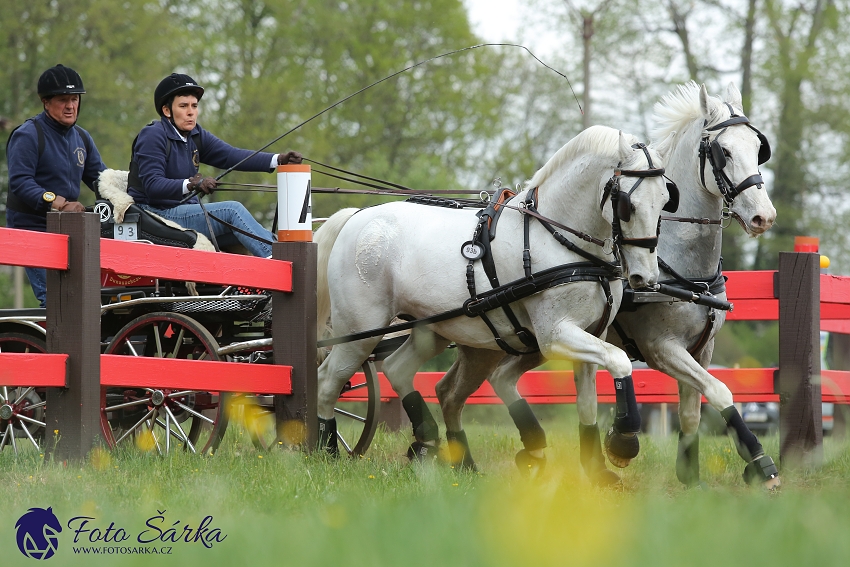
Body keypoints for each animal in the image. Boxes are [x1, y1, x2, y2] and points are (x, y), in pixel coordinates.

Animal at [314, 127, 672, 462]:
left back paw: (439, 445)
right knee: (328, 381)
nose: (646, 277)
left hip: (432, 329)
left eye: (665, 200)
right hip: (360, 331)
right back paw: (324, 449)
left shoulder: (591, 334)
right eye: (627, 205)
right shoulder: (554, 335)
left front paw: (597, 469)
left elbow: (588, 404)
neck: (558, 238)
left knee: (397, 369)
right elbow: (620, 359)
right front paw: (624, 439)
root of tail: (356, 217)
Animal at [434, 82, 780, 490]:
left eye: (757, 147)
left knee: (459, 389)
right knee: (454, 391)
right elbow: (719, 390)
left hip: (510, 343)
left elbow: (695, 409)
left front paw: (691, 473)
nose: (763, 216)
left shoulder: (702, 349)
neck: (680, 265)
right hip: (494, 343)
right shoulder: (661, 348)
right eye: (722, 151)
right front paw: (759, 462)